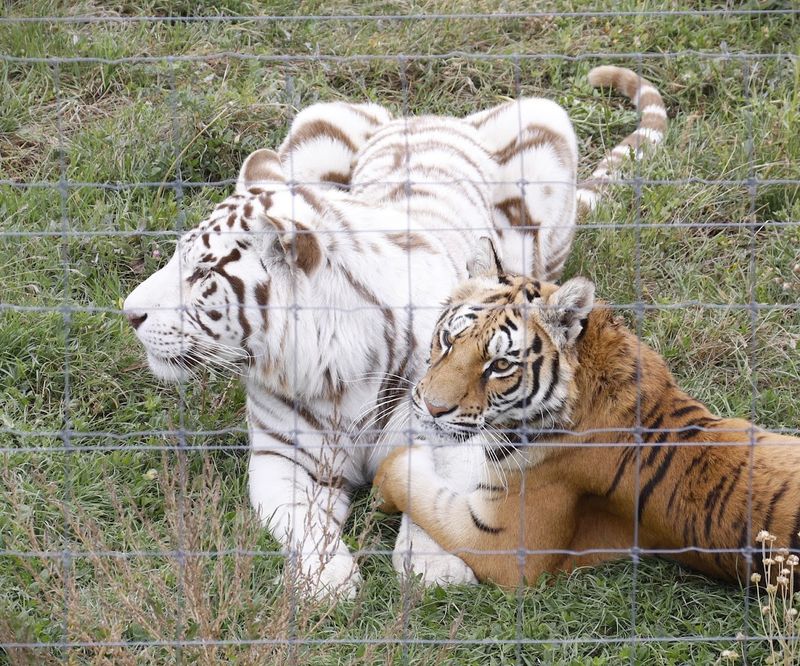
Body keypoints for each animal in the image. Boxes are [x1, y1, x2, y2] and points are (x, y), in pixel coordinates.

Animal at [123, 66, 668, 598]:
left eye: (201, 273)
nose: (129, 313)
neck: (332, 366)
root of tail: (429, 117)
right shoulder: (282, 456)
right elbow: (301, 521)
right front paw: (326, 580)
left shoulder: (461, 423)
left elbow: (437, 494)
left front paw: (433, 568)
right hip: (318, 119)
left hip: (543, 123)